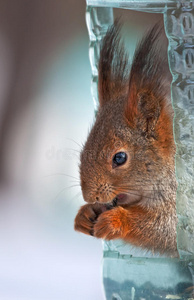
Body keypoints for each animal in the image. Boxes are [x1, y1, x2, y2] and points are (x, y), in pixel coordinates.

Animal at [73, 20, 178, 255]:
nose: (90, 196)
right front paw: (84, 214)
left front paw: (115, 221)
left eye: (119, 158)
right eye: (83, 152)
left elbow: (165, 229)